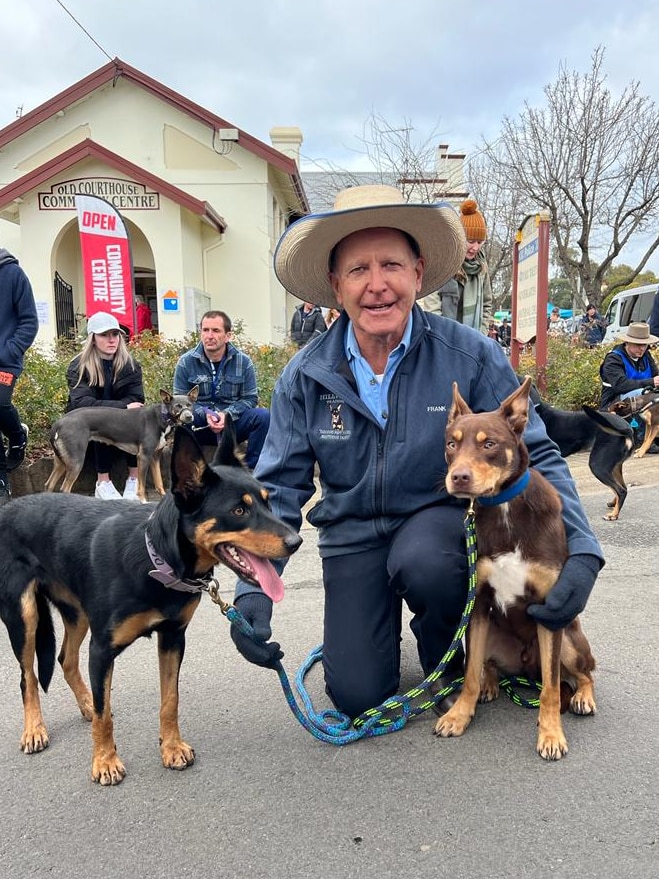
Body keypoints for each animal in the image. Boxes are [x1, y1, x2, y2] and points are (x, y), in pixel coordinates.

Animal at [0, 422, 302, 788]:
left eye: (267, 503)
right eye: (239, 511)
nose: (297, 541)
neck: (155, 558)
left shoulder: (173, 638)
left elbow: (169, 699)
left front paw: (171, 747)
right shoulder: (102, 650)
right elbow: (104, 716)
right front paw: (105, 761)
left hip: (77, 614)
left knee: (65, 660)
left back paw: (85, 703)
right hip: (24, 614)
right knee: (28, 676)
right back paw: (35, 729)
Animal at [45, 390, 199, 506]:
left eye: (189, 405)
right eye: (178, 406)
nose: (189, 417)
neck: (161, 416)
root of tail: (59, 423)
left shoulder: (155, 457)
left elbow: (159, 482)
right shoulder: (144, 457)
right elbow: (141, 486)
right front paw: (143, 502)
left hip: (61, 462)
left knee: (49, 485)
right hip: (76, 461)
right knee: (64, 488)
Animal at [434, 382, 600, 760]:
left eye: (489, 444)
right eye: (452, 443)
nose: (458, 477)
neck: (504, 507)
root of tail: (526, 666)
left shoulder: (549, 610)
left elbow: (551, 691)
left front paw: (551, 734)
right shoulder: (478, 605)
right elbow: (469, 675)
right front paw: (459, 715)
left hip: (568, 640)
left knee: (583, 673)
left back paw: (583, 697)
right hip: (491, 636)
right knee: (486, 666)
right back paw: (491, 684)